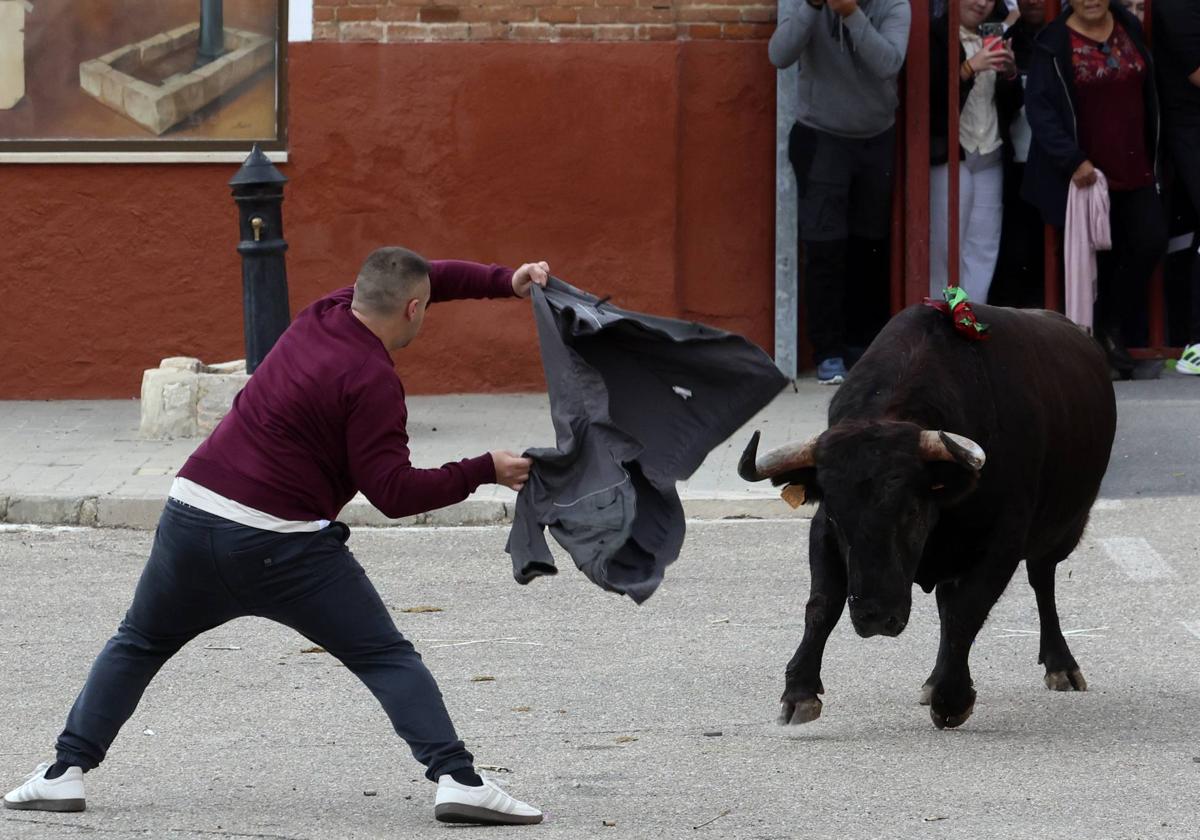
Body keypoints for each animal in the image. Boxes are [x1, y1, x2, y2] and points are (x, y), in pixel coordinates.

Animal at [739, 303, 1113, 729]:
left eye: (912, 509)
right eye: (835, 514)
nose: (875, 616)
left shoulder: (1003, 542)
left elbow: (968, 611)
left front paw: (951, 700)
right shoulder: (824, 535)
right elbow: (822, 604)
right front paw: (799, 692)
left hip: (1062, 530)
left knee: (1041, 580)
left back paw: (1060, 665)